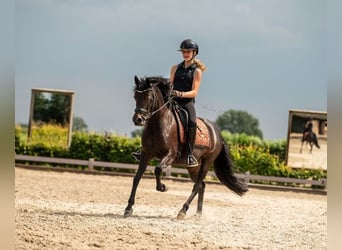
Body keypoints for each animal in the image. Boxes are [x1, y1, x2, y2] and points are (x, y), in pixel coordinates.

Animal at [124, 76, 247, 219]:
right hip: (193, 167)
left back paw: (183, 210)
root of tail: (217, 133)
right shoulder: (146, 154)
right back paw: (198, 213)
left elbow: (158, 169)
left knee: (197, 185)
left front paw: (163, 187)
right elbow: (137, 178)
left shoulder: (170, 155)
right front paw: (128, 208)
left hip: (207, 162)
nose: (138, 119)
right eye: (135, 96)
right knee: (201, 185)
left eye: (149, 97)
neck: (159, 124)